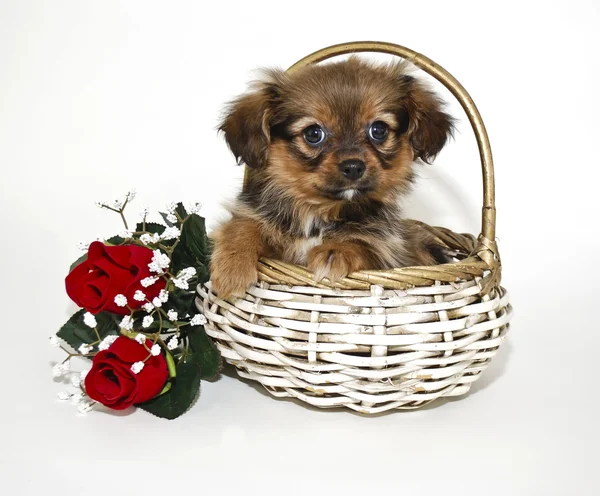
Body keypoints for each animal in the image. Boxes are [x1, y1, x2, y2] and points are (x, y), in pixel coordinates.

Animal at [209, 56, 452, 296]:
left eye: (379, 130)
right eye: (313, 133)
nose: (353, 166)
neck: (320, 214)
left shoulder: (389, 252)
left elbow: (365, 244)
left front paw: (336, 250)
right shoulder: (257, 219)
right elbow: (242, 226)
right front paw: (232, 270)